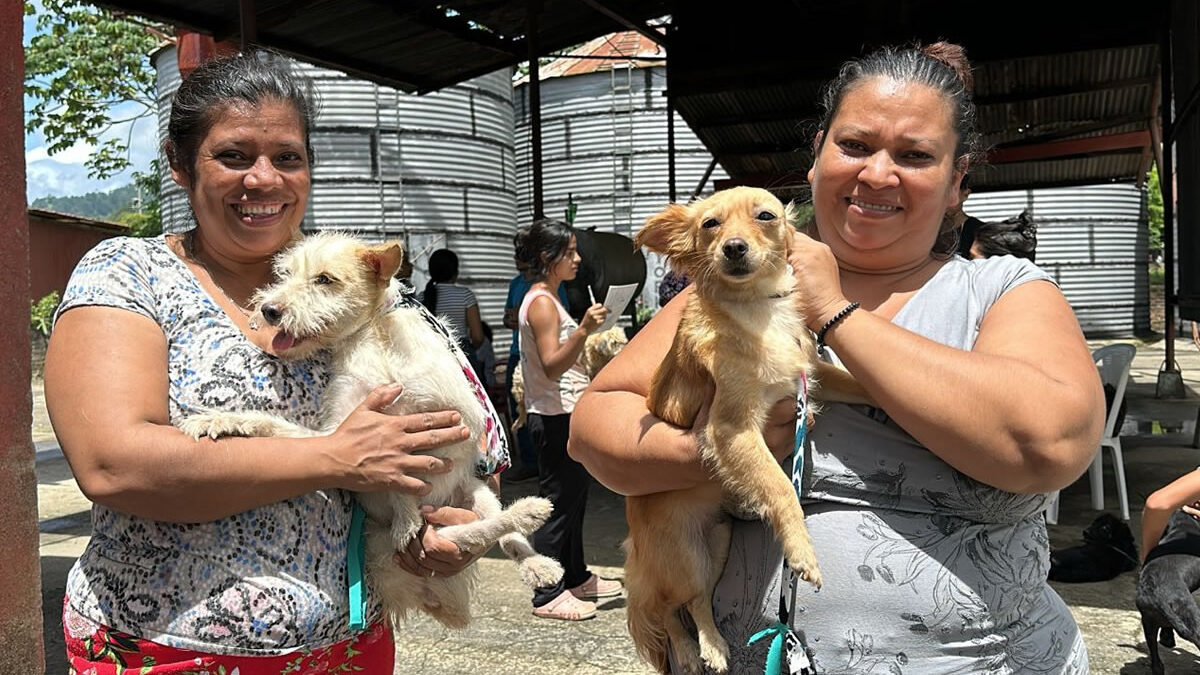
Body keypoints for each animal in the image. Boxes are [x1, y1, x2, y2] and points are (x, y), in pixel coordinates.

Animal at [180, 234, 564, 629]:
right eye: (284, 275)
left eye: (324, 279)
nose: (269, 310)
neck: (372, 337)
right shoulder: (339, 435)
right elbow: (275, 425)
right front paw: (216, 420)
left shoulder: (456, 420)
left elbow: (409, 467)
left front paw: (407, 513)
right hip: (378, 538)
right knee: (455, 535)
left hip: (475, 492)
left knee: (493, 534)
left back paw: (534, 545)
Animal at [628, 184, 864, 672]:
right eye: (710, 225)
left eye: (765, 216)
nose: (734, 248)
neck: (756, 308)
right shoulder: (732, 429)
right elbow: (780, 487)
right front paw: (800, 549)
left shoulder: (812, 373)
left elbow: (857, 382)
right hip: (684, 556)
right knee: (668, 607)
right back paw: (692, 650)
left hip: (717, 543)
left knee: (697, 600)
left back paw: (713, 646)